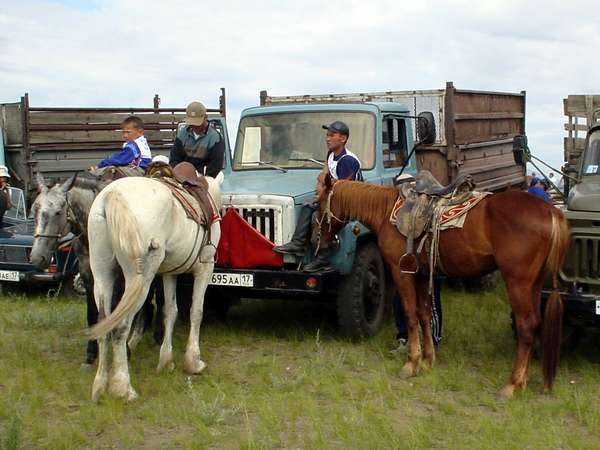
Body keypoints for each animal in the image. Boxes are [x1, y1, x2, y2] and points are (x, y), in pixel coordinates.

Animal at [86, 172, 223, 400]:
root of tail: (112, 195)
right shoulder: (205, 268)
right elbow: (196, 312)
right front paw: (193, 362)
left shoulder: (169, 273)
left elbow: (170, 311)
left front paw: (166, 361)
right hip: (139, 280)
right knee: (121, 327)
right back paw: (123, 388)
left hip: (102, 275)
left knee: (103, 325)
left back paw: (99, 386)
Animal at [316, 176, 568, 398]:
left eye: (318, 201)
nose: (317, 238)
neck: (386, 212)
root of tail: (551, 211)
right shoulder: (420, 274)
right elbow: (424, 314)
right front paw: (428, 360)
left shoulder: (401, 273)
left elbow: (410, 315)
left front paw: (412, 363)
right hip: (534, 283)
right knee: (535, 322)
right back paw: (522, 381)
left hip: (517, 282)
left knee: (526, 326)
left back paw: (512, 384)